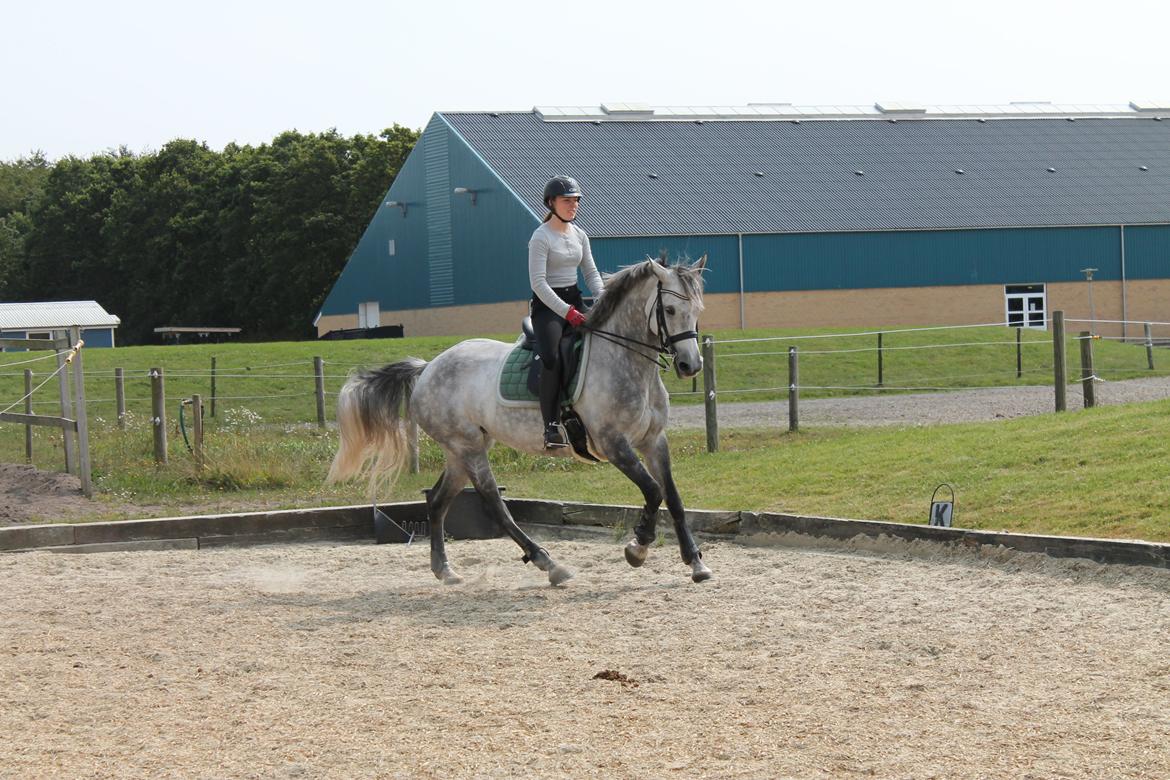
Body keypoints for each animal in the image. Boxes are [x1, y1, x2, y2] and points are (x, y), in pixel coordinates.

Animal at [327, 257, 711, 584]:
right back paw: (549, 564)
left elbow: (673, 498)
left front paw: (696, 563)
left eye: (697, 311)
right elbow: (654, 490)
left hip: (462, 450)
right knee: (495, 505)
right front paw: (638, 548)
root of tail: (427, 368)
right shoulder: (613, 443)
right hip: (468, 448)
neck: (626, 361)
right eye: (670, 309)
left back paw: (445, 570)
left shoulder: (653, 440)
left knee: (436, 501)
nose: (690, 366)